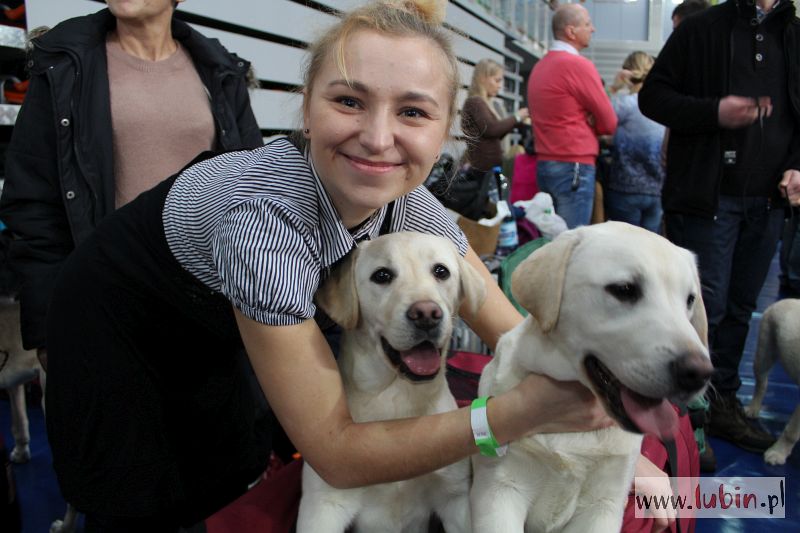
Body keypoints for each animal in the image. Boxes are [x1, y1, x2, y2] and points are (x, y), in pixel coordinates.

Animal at [298, 232, 488, 532]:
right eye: (382, 275)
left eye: (441, 271)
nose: (426, 314)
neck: (397, 395)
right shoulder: (323, 506)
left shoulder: (454, 496)